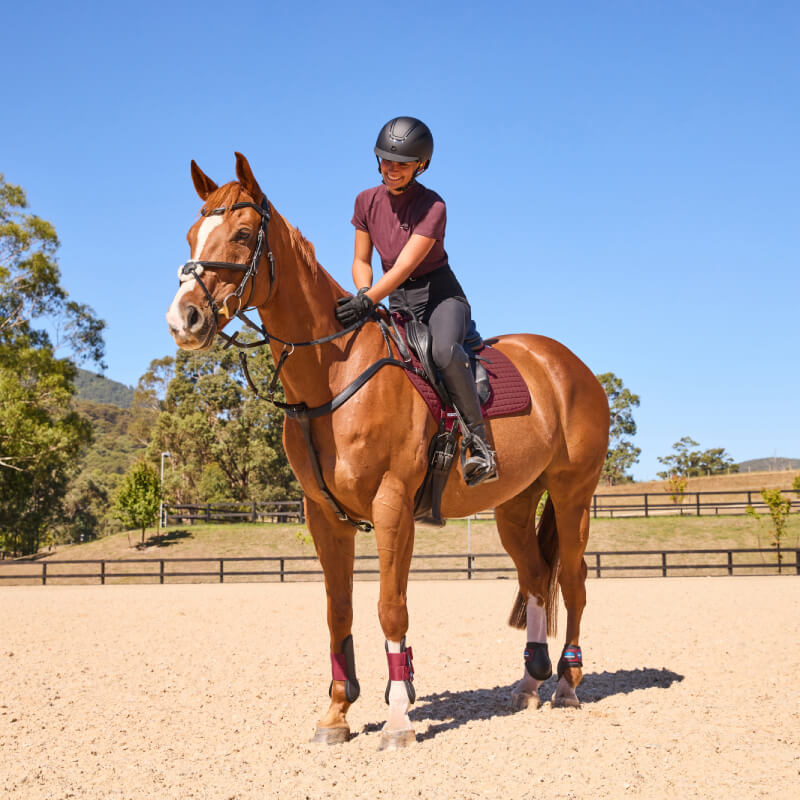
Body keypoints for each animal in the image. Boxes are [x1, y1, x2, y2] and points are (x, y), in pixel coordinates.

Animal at [166, 153, 610, 749]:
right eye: (192, 236)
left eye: (240, 234)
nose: (183, 319)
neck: (334, 374)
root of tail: (569, 364)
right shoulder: (324, 515)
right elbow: (339, 612)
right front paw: (336, 713)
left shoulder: (392, 504)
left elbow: (390, 609)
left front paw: (398, 717)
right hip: (515, 505)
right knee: (537, 578)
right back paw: (528, 682)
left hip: (571, 494)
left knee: (572, 580)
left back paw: (565, 683)